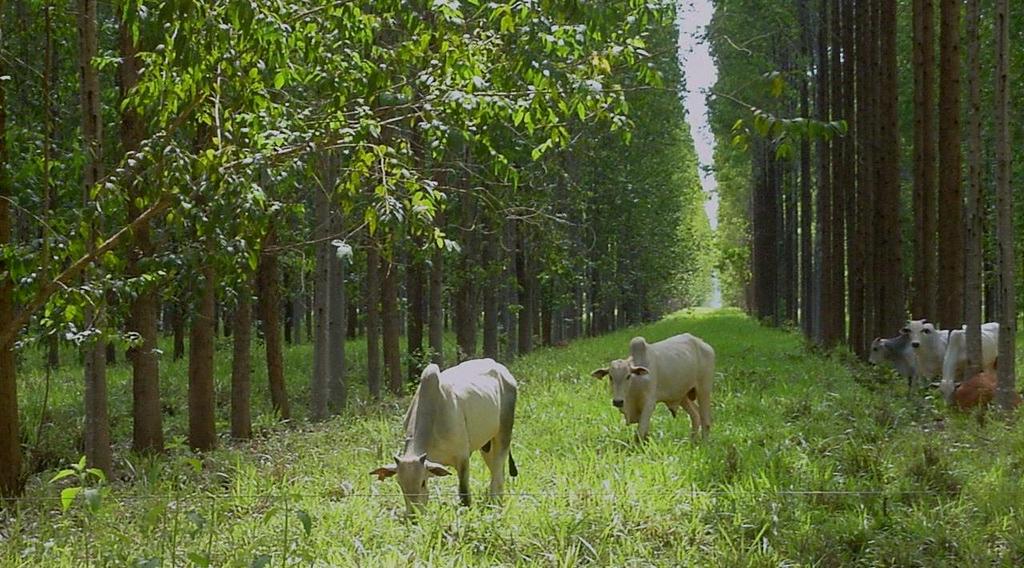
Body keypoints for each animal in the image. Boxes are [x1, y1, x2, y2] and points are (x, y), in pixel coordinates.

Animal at [370, 360, 520, 515]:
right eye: (400, 484)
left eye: (422, 482)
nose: (413, 515)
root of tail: (502, 369)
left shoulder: (462, 458)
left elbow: (464, 495)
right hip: (486, 446)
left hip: (504, 434)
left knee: (498, 475)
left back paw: (496, 506)